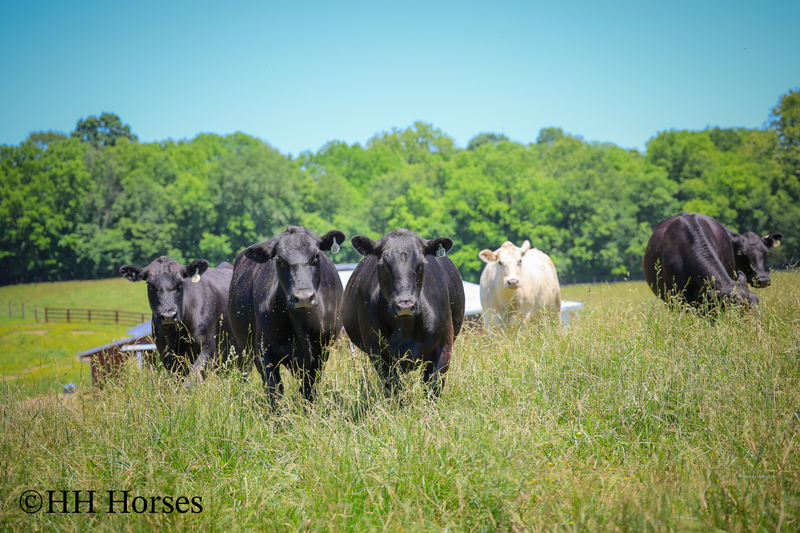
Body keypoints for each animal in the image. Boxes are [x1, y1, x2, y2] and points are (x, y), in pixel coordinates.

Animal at [228, 226, 346, 403]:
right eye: (280, 260)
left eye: (316, 256)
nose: (303, 297)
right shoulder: (263, 350)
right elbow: (274, 390)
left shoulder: (320, 352)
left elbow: (309, 390)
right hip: (244, 349)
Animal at [342, 229, 466, 396]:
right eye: (384, 265)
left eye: (421, 264)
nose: (405, 305)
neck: (405, 328)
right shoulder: (378, 352)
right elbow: (394, 388)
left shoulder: (443, 347)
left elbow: (432, 388)